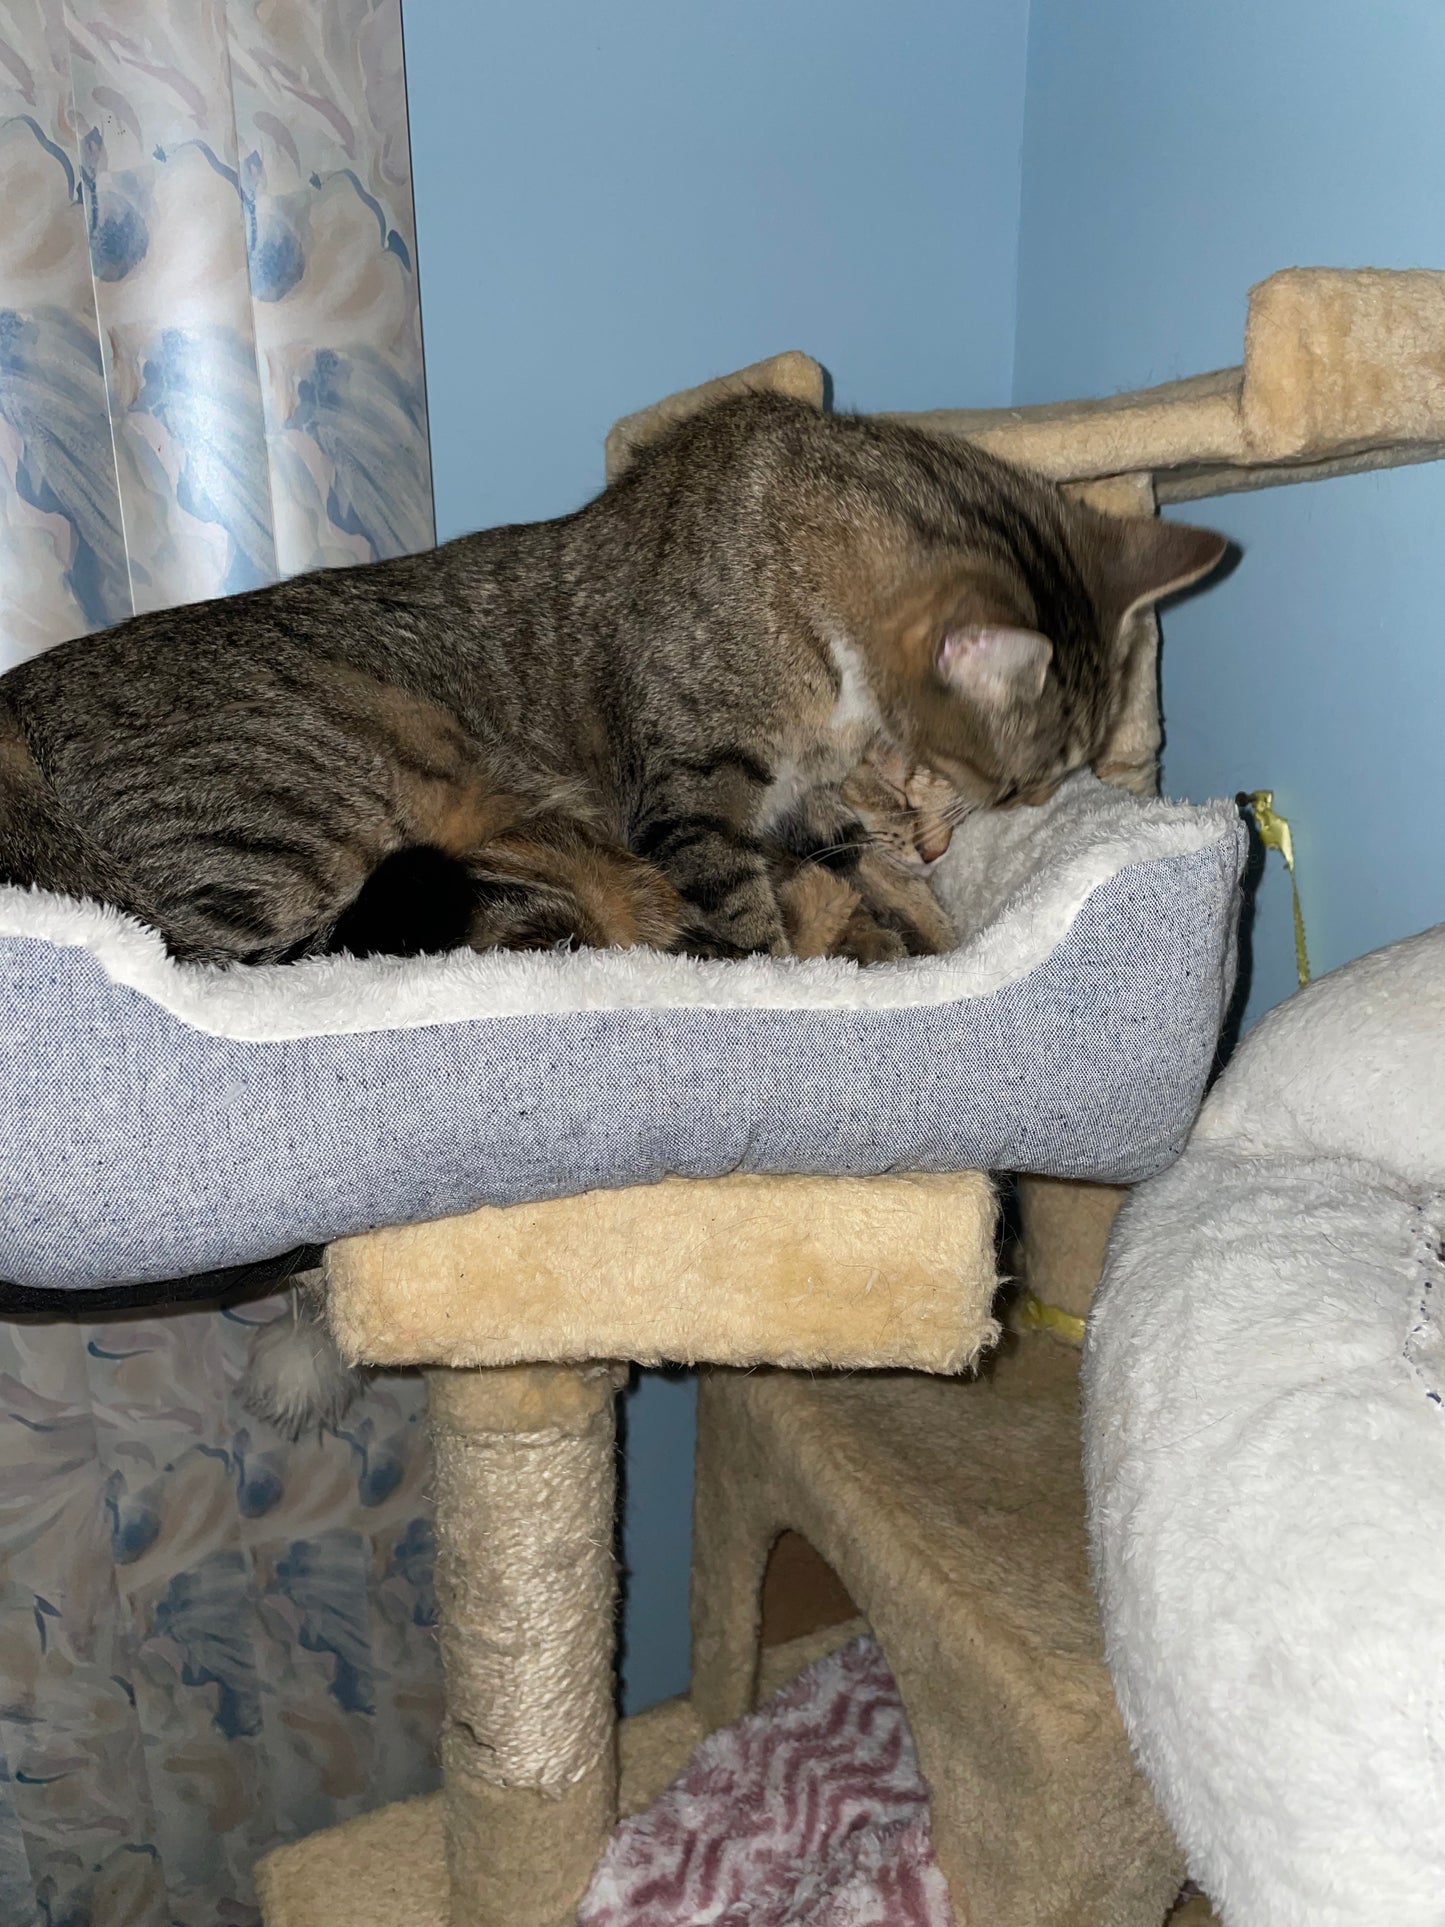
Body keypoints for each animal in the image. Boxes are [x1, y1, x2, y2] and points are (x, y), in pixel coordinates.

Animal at [0, 393, 1233, 971]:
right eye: (1012, 786)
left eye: (1046, 789)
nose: (971, 827)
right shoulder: (692, 791)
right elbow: (751, 914)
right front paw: (802, 968)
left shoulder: (798, 804)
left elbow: (858, 874)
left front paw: (914, 916)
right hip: (303, 823)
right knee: (232, 962)